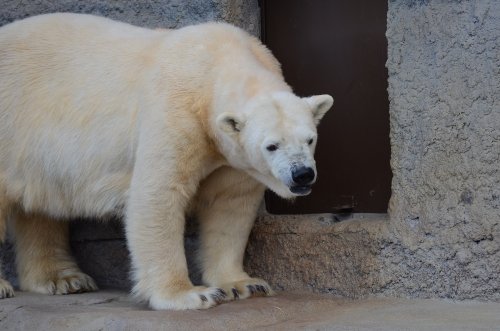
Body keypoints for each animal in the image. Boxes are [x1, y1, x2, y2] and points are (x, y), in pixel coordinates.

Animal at [0, 12, 336, 308]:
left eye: (310, 139)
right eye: (271, 146)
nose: (302, 174)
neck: (215, 62)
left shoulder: (229, 154)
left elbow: (230, 203)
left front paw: (245, 284)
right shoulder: (176, 111)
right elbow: (159, 193)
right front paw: (191, 295)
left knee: (39, 207)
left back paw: (64, 279)